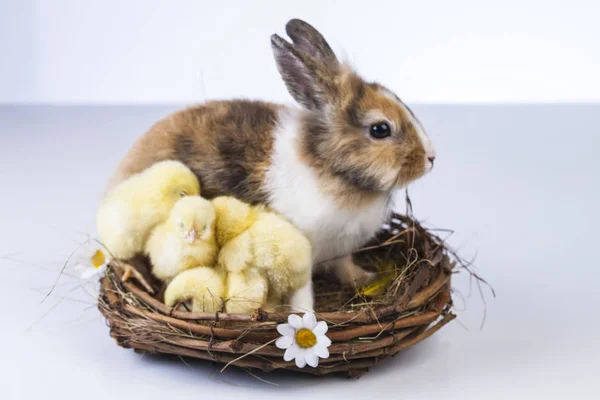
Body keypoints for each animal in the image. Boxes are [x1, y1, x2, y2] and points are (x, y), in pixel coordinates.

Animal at [105, 19, 436, 312]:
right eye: (380, 129)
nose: (431, 158)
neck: (327, 164)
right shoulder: (303, 250)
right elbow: (303, 291)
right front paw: (306, 315)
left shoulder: (341, 250)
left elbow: (345, 267)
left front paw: (363, 278)